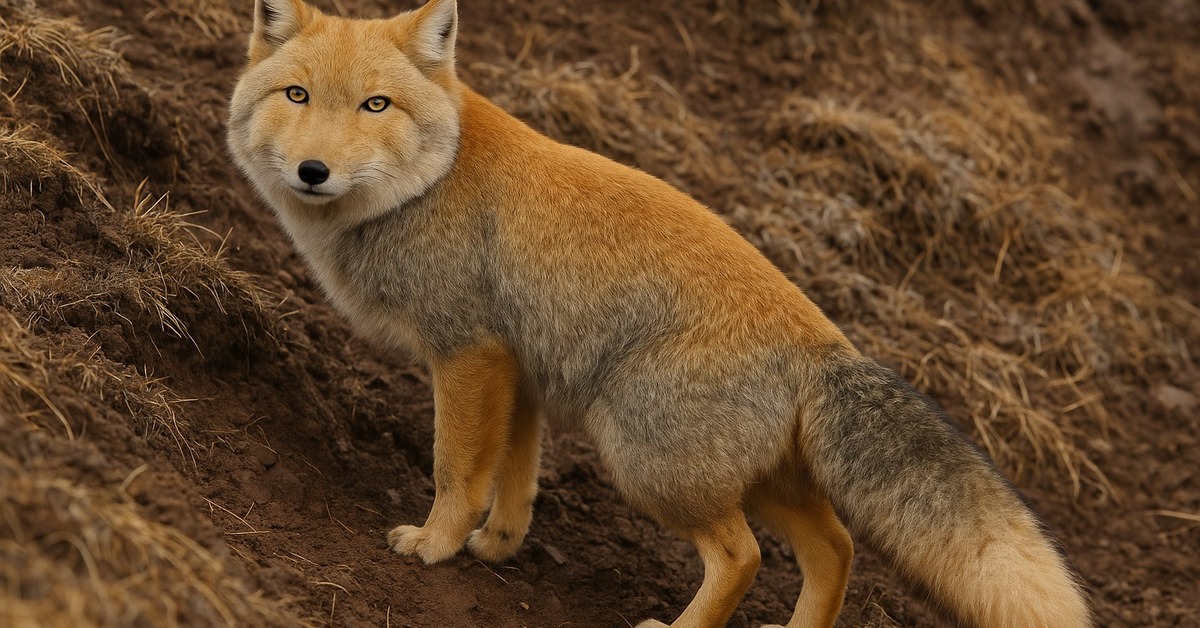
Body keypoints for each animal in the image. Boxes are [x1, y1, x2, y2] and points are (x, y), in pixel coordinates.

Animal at [226, 1, 1092, 626]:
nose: (313, 170)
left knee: (744, 558)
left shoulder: (468, 354)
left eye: (375, 105)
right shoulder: (522, 373)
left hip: (645, 460)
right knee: (837, 548)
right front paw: (497, 549)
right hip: (741, 479)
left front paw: (436, 548)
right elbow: (516, 482)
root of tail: (826, 345)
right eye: (297, 96)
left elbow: (457, 472)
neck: (428, 185)